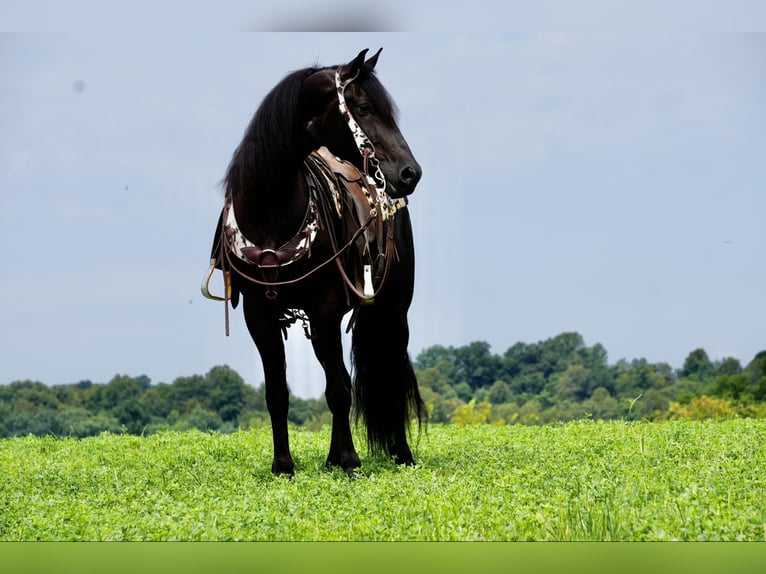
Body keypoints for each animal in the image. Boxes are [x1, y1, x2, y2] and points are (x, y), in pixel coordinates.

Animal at [202, 48, 427, 476]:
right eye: (364, 108)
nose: (410, 173)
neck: (271, 214)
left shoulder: (325, 308)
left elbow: (339, 390)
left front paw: (351, 461)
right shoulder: (259, 315)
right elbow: (278, 392)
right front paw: (283, 466)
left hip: (393, 308)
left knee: (386, 370)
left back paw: (399, 453)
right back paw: (332, 457)